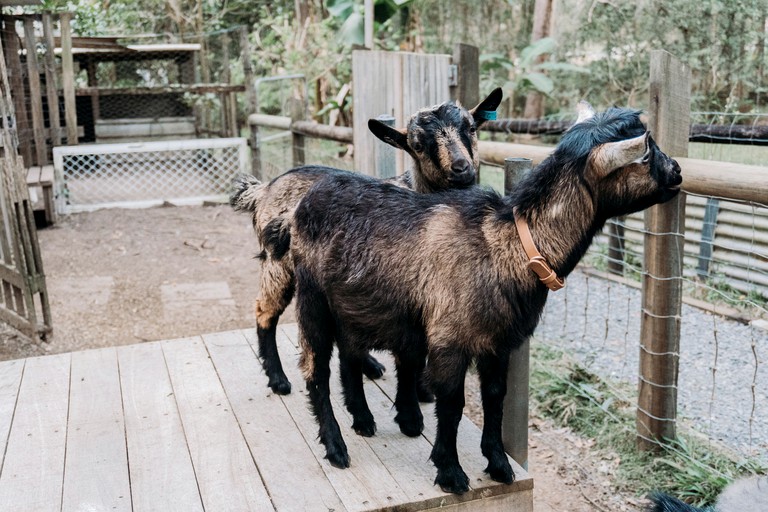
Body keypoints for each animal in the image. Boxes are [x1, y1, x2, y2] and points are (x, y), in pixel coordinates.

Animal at [228, 88, 504, 394]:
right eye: (417, 145)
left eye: (471, 128)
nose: (461, 167)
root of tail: (265, 188)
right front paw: (421, 391)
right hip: (277, 261)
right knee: (265, 311)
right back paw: (278, 379)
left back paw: (369, 366)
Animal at [290, 103, 684, 492]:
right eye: (645, 154)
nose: (678, 171)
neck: (511, 244)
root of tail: (310, 196)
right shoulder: (449, 340)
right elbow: (453, 404)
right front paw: (450, 471)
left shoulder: (499, 342)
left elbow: (495, 397)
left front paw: (498, 464)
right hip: (312, 299)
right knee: (316, 371)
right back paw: (336, 447)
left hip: (352, 305)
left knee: (350, 353)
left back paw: (362, 419)